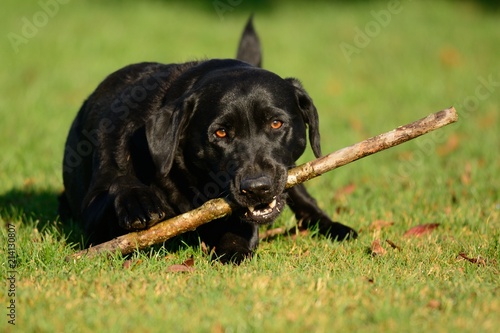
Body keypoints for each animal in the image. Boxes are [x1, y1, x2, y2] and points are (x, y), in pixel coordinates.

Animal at [59, 17, 356, 262]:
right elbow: (114, 192)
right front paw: (138, 201)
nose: (257, 188)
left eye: (276, 123)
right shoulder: (92, 211)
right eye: (220, 133)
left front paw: (234, 247)